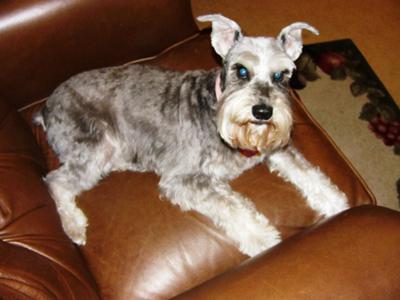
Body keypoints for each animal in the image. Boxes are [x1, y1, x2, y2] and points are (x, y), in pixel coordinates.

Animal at [33, 14, 346, 256]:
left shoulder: (277, 149)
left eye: (281, 75)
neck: (217, 107)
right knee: (56, 181)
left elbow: (307, 172)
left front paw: (335, 202)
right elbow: (231, 206)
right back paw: (74, 225)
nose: (262, 112)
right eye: (241, 70)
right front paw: (262, 237)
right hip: (96, 148)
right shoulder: (183, 179)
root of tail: (45, 109)